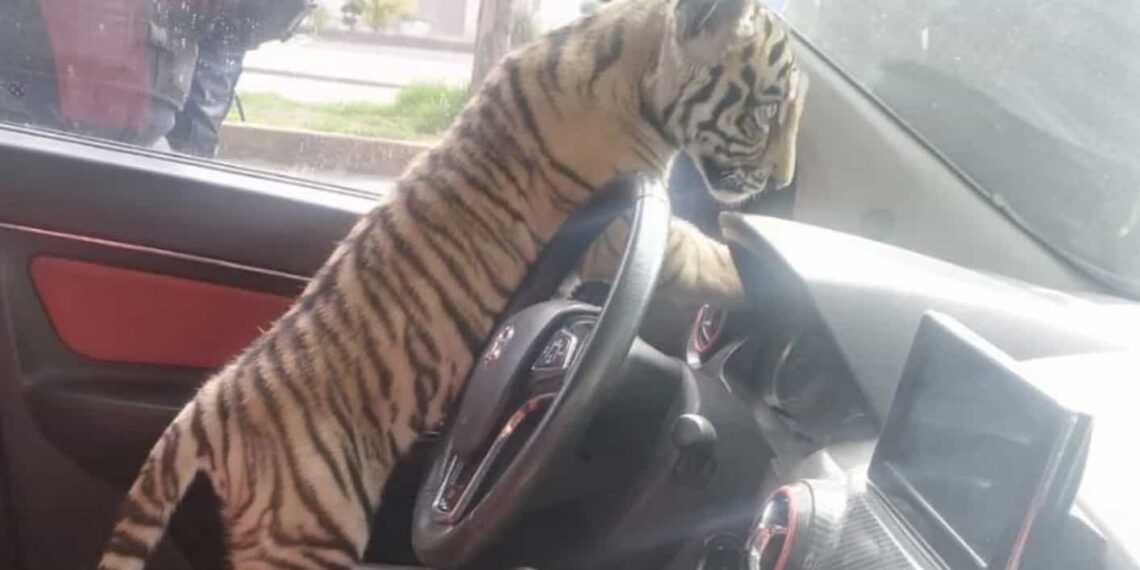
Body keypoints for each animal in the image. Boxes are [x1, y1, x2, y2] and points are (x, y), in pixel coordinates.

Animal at [96, 0, 805, 568]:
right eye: (768, 109)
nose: (781, 181)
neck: (634, 60)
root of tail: (213, 402)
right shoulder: (623, 222)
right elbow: (706, 255)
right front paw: (781, 283)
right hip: (309, 532)